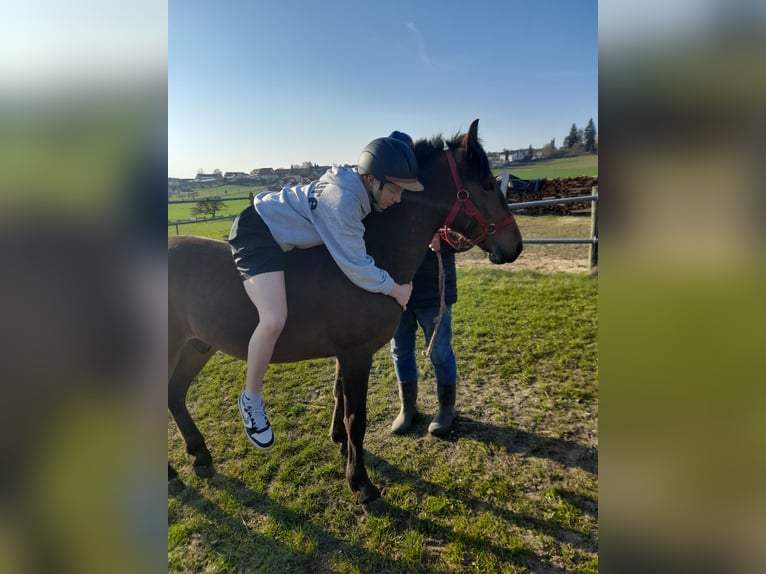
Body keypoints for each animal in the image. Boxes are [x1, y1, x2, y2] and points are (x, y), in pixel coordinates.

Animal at [168, 119, 523, 512]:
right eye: (487, 184)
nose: (515, 246)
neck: (374, 250)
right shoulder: (356, 354)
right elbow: (357, 417)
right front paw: (363, 485)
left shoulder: (346, 354)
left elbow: (339, 400)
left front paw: (339, 443)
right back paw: (173, 475)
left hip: (196, 347)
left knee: (174, 395)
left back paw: (200, 456)